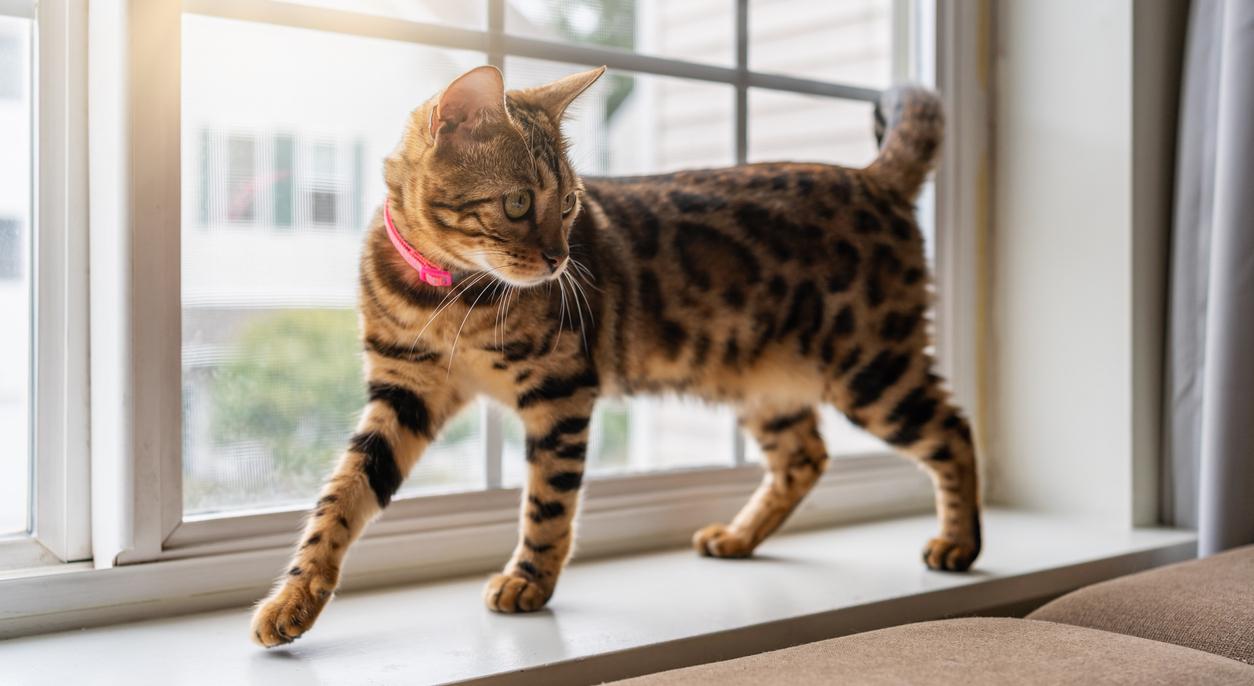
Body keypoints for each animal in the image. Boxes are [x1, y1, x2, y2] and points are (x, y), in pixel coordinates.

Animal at [252, 65, 978, 652]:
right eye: (519, 202)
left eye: (570, 204)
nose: (559, 259)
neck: (446, 292)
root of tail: (870, 178)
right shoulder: (404, 391)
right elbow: (341, 497)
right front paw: (293, 599)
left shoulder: (561, 390)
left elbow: (548, 503)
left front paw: (528, 581)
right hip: (766, 385)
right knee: (806, 457)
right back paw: (739, 538)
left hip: (872, 368)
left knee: (954, 429)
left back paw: (961, 543)